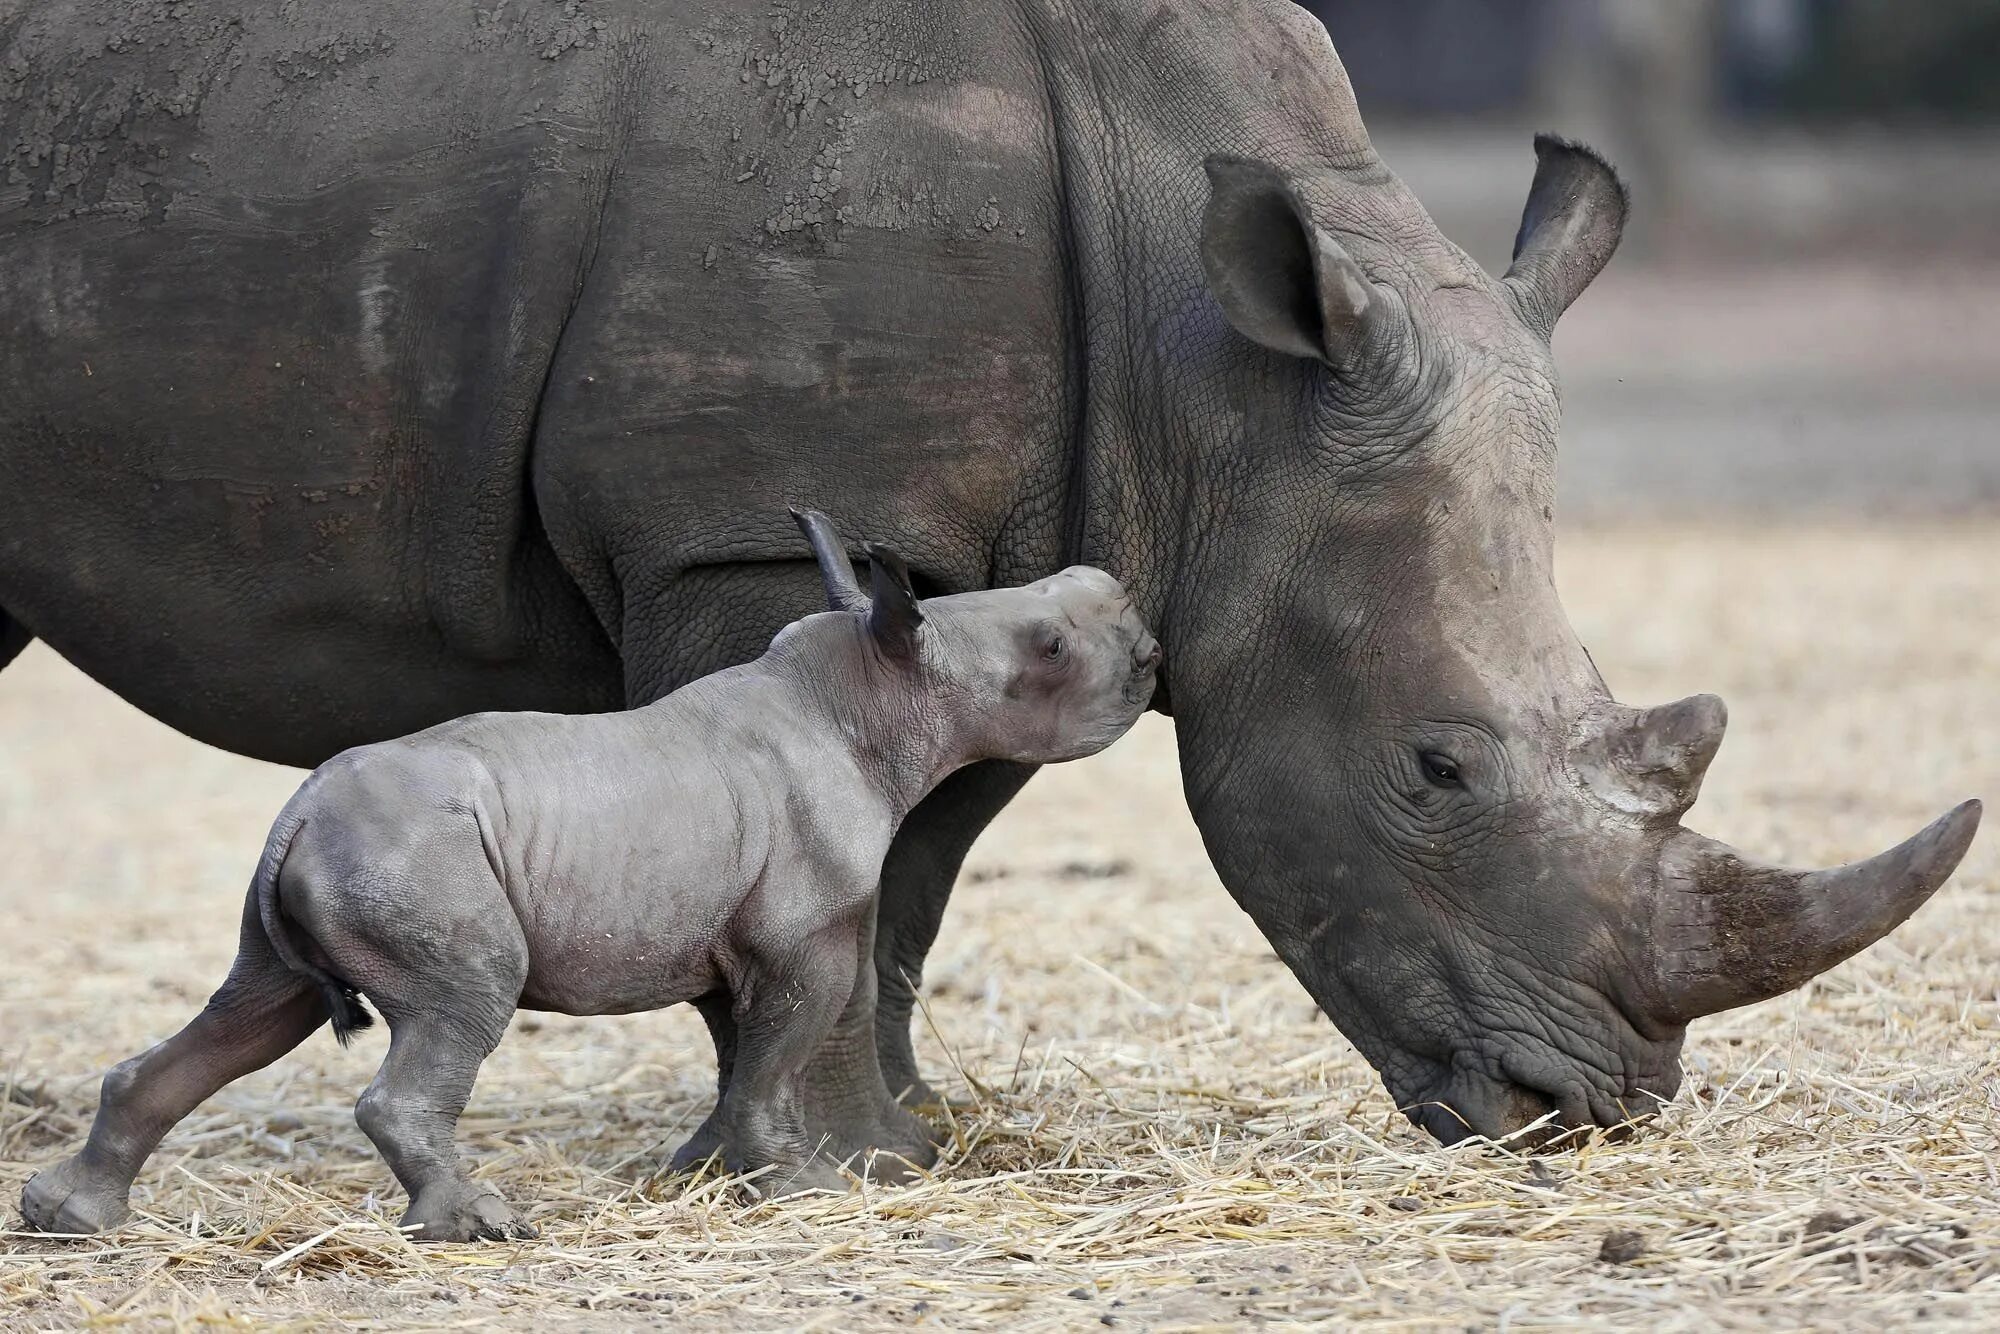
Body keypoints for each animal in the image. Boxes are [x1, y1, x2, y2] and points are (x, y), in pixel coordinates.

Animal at [19, 512, 1160, 1240]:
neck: (873, 687)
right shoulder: (798, 932)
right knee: (457, 1001)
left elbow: (743, 1053)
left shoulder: (729, 928)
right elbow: (775, 1051)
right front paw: (798, 1187)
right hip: (416, 862)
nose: (1147, 649)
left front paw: (716, 1171)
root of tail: (293, 819)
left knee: (257, 1008)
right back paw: (480, 1226)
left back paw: (68, 1217)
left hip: (332, 863)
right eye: (1049, 646)